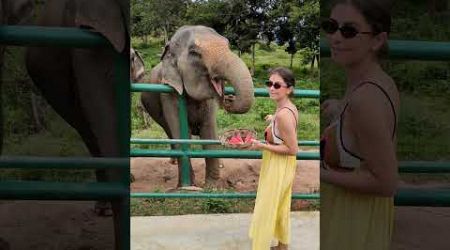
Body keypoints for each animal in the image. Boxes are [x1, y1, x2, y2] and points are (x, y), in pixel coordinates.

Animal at [141, 25, 253, 188]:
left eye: (227, 44)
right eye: (194, 53)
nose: (229, 98)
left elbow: (209, 132)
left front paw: (212, 187)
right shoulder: (169, 93)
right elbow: (181, 134)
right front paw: (187, 187)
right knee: (170, 131)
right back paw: (173, 162)